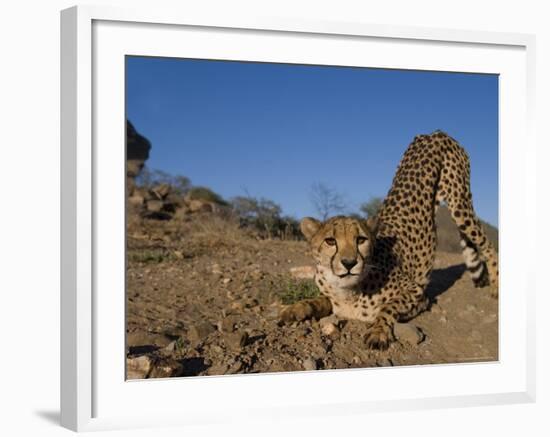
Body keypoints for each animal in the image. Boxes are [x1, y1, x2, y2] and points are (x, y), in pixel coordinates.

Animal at [280, 131, 500, 350]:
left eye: (361, 240)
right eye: (330, 241)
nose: (349, 263)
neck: (347, 291)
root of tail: (435, 132)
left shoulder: (419, 294)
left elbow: (387, 307)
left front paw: (378, 331)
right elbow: (317, 300)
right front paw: (295, 308)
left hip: (459, 202)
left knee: (488, 246)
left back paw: (496, 288)